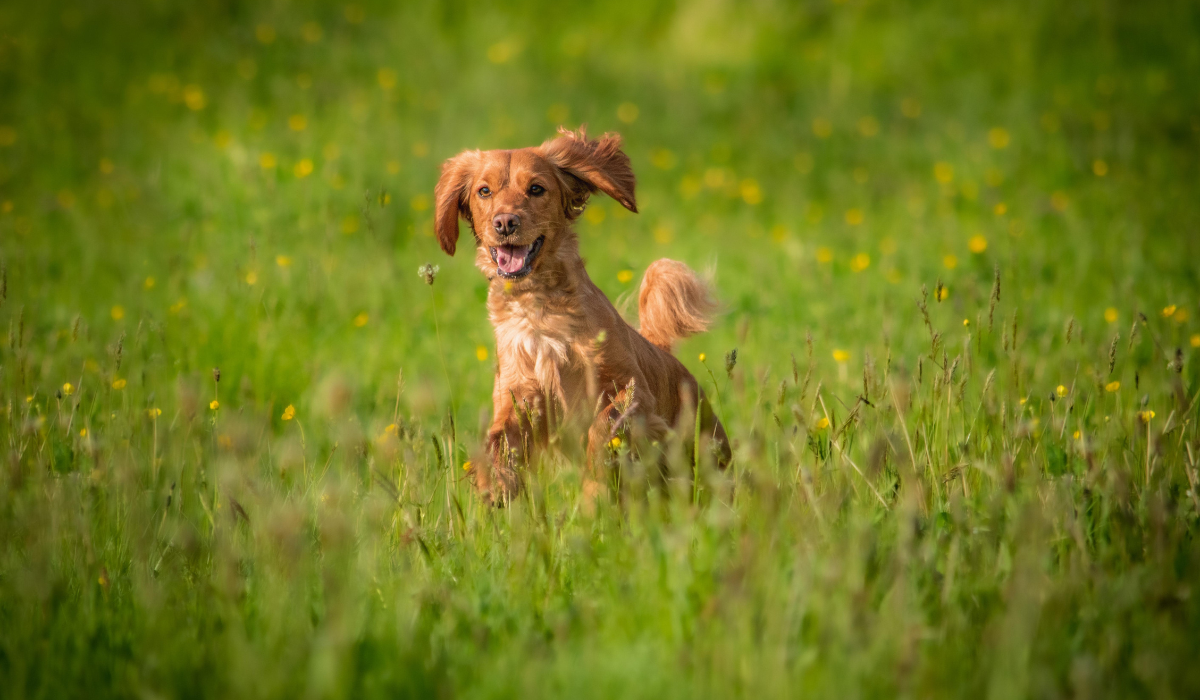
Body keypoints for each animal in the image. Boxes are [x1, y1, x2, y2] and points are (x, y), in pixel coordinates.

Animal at [434, 124, 729, 499]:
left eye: (536, 188)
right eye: (483, 191)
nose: (505, 222)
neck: (540, 310)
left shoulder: (630, 388)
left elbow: (604, 426)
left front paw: (597, 474)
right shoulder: (519, 393)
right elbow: (500, 437)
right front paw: (497, 481)